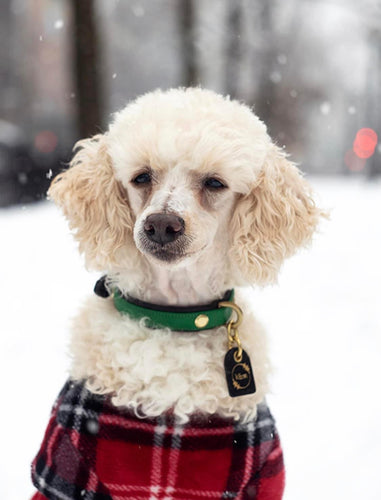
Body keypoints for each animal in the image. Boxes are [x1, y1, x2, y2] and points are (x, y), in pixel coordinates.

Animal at [30, 88, 320, 498]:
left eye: (214, 183)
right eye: (141, 177)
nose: (162, 225)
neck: (177, 318)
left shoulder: (260, 478)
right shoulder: (64, 472)